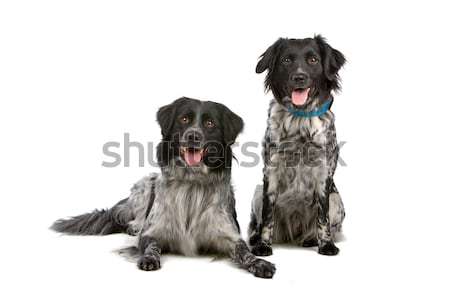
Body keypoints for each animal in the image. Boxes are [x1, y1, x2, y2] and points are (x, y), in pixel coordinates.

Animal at [53, 97, 278, 278]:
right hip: (145, 184)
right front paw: (149, 258)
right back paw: (133, 226)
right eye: (184, 120)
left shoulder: (229, 236)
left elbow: (244, 251)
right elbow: (151, 245)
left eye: (210, 123)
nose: (193, 136)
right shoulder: (152, 231)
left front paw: (259, 263)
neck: (192, 183)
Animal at [248, 35, 346, 255]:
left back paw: (310, 239)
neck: (300, 120)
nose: (299, 77)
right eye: (286, 60)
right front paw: (263, 246)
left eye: (313, 60)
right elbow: (267, 217)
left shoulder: (324, 170)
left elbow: (322, 217)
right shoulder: (271, 171)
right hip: (257, 192)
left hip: (337, 201)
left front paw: (326, 245)